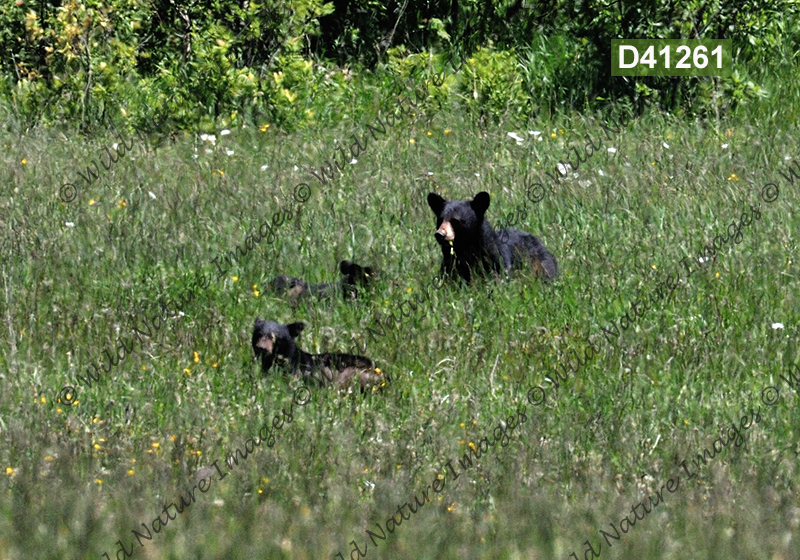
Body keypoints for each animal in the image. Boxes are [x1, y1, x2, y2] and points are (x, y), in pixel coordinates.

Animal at [424, 191, 556, 284]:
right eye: (440, 220)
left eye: (455, 221)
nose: (440, 234)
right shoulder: (450, 265)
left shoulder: (496, 259)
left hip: (540, 262)